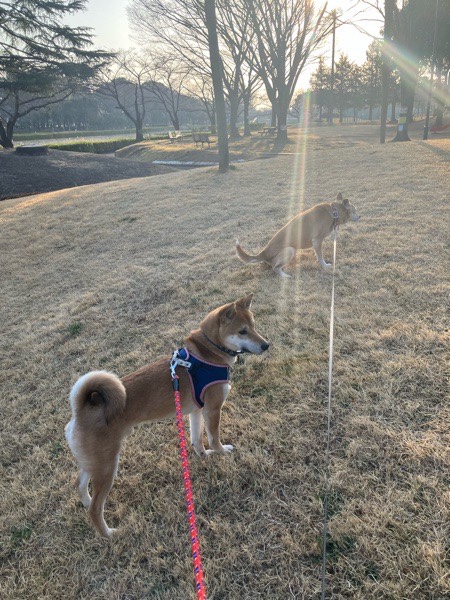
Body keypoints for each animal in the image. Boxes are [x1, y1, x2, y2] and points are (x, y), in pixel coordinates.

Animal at [65, 294, 269, 538]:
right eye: (242, 331)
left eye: (254, 326)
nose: (266, 345)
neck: (209, 352)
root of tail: (80, 409)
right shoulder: (213, 409)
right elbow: (214, 438)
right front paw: (221, 452)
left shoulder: (196, 411)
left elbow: (197, 439)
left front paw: (204, 455)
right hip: (107, 465)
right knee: (96, 509)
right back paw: (109, 534)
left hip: (94, 462)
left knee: (79, 484)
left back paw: (86, 502)